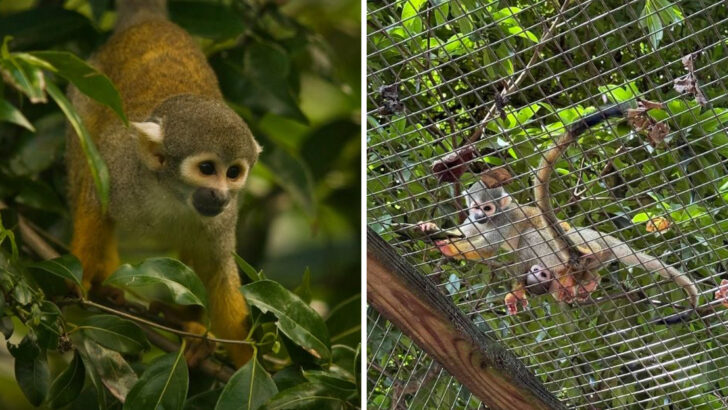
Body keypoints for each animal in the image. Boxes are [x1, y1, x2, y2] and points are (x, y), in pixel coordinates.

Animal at [66, 0, 260, 367]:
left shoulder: (224, 218)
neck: (171, 195)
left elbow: (216, 269)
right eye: (207, 168)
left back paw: (184, 320)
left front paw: (251, 362)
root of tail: (149, 20)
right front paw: (80, 279)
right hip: (83, 87)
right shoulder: (120, 168)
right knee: (83, 155)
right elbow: (94, 199)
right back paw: (104, 280)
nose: (221, 195)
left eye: (233, 173)